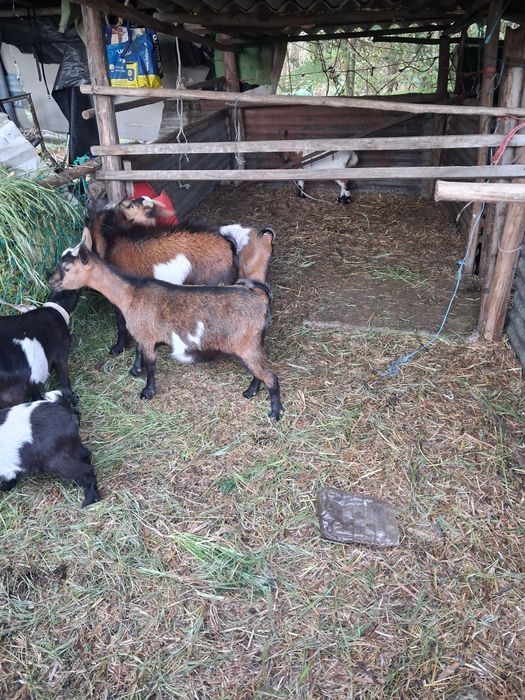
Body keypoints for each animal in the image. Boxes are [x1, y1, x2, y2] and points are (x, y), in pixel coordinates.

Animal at [51, 230, 283, 419]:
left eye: (66, 267)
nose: (50, 280)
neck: (130, 294)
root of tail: (261, 300)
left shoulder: (148, 336)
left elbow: (151, 364)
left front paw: (147, 392)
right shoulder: (143, 333)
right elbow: (138, 350)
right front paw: (135, 370)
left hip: (247, 345)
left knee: (270, 376)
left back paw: (274, 413)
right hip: (252, 346)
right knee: (259, 372)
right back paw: (250, 392)